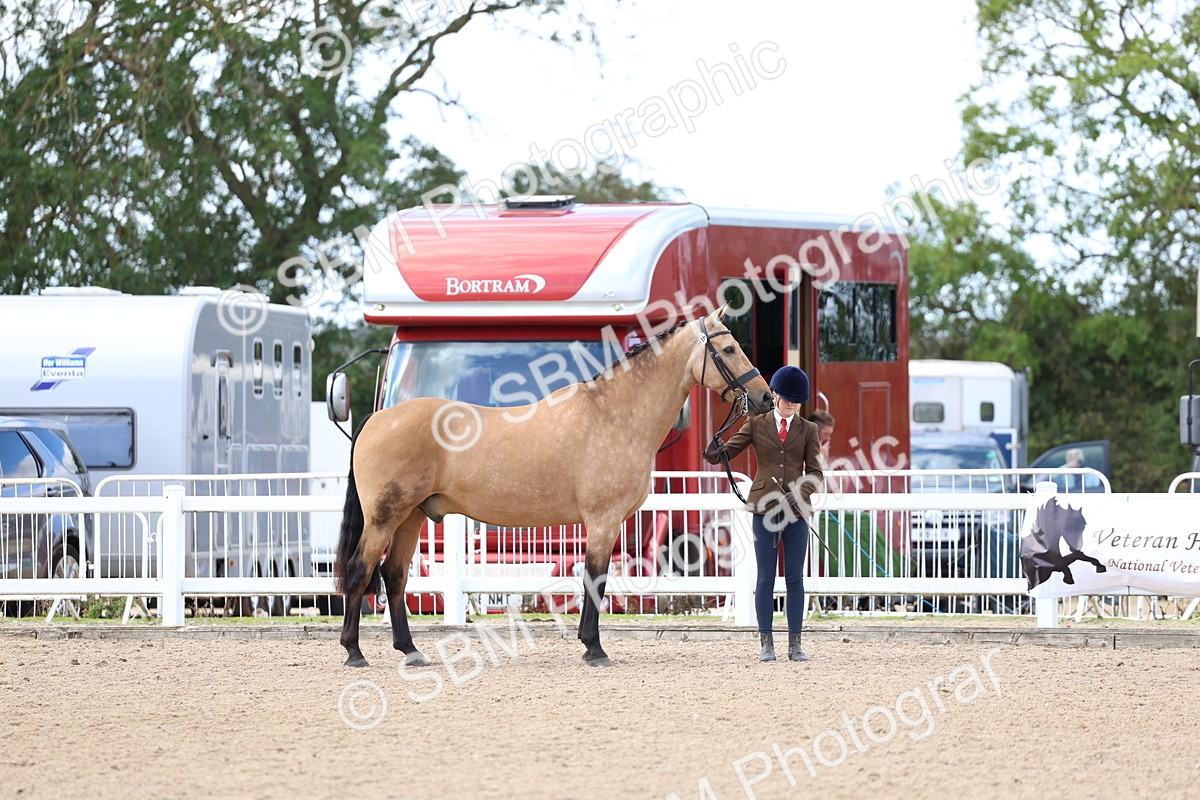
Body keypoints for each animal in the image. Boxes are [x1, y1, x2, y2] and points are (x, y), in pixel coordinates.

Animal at [333, 306, 773, 668]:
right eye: (729, 349)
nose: (765, 397)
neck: (615, 414)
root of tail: (377, 419)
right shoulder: (603, 521)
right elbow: (594, 579)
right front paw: (594, 649)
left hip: (411, 517)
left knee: (394, 576)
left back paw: (410, 650)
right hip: (384, 518)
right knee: (359, 571)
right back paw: (354, 652)